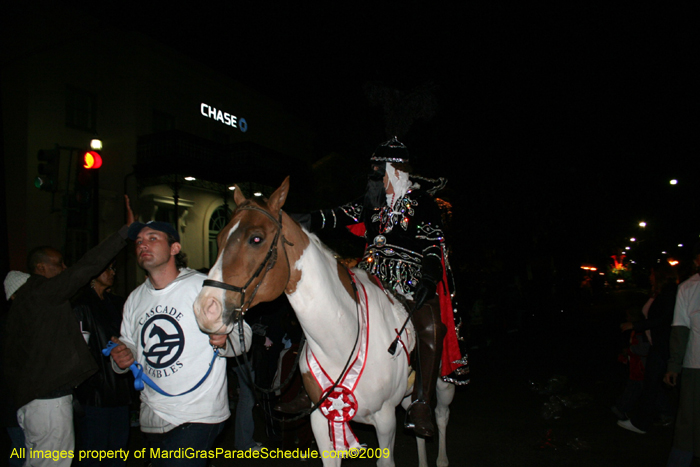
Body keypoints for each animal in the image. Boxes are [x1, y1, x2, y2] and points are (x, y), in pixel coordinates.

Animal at [193, 177, 454, 466]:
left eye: (256, 238)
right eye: (219, 237)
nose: (206, 309)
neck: (343, 338)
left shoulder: (386, 420)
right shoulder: (321, 417)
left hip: (444, 382)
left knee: (439, 417)